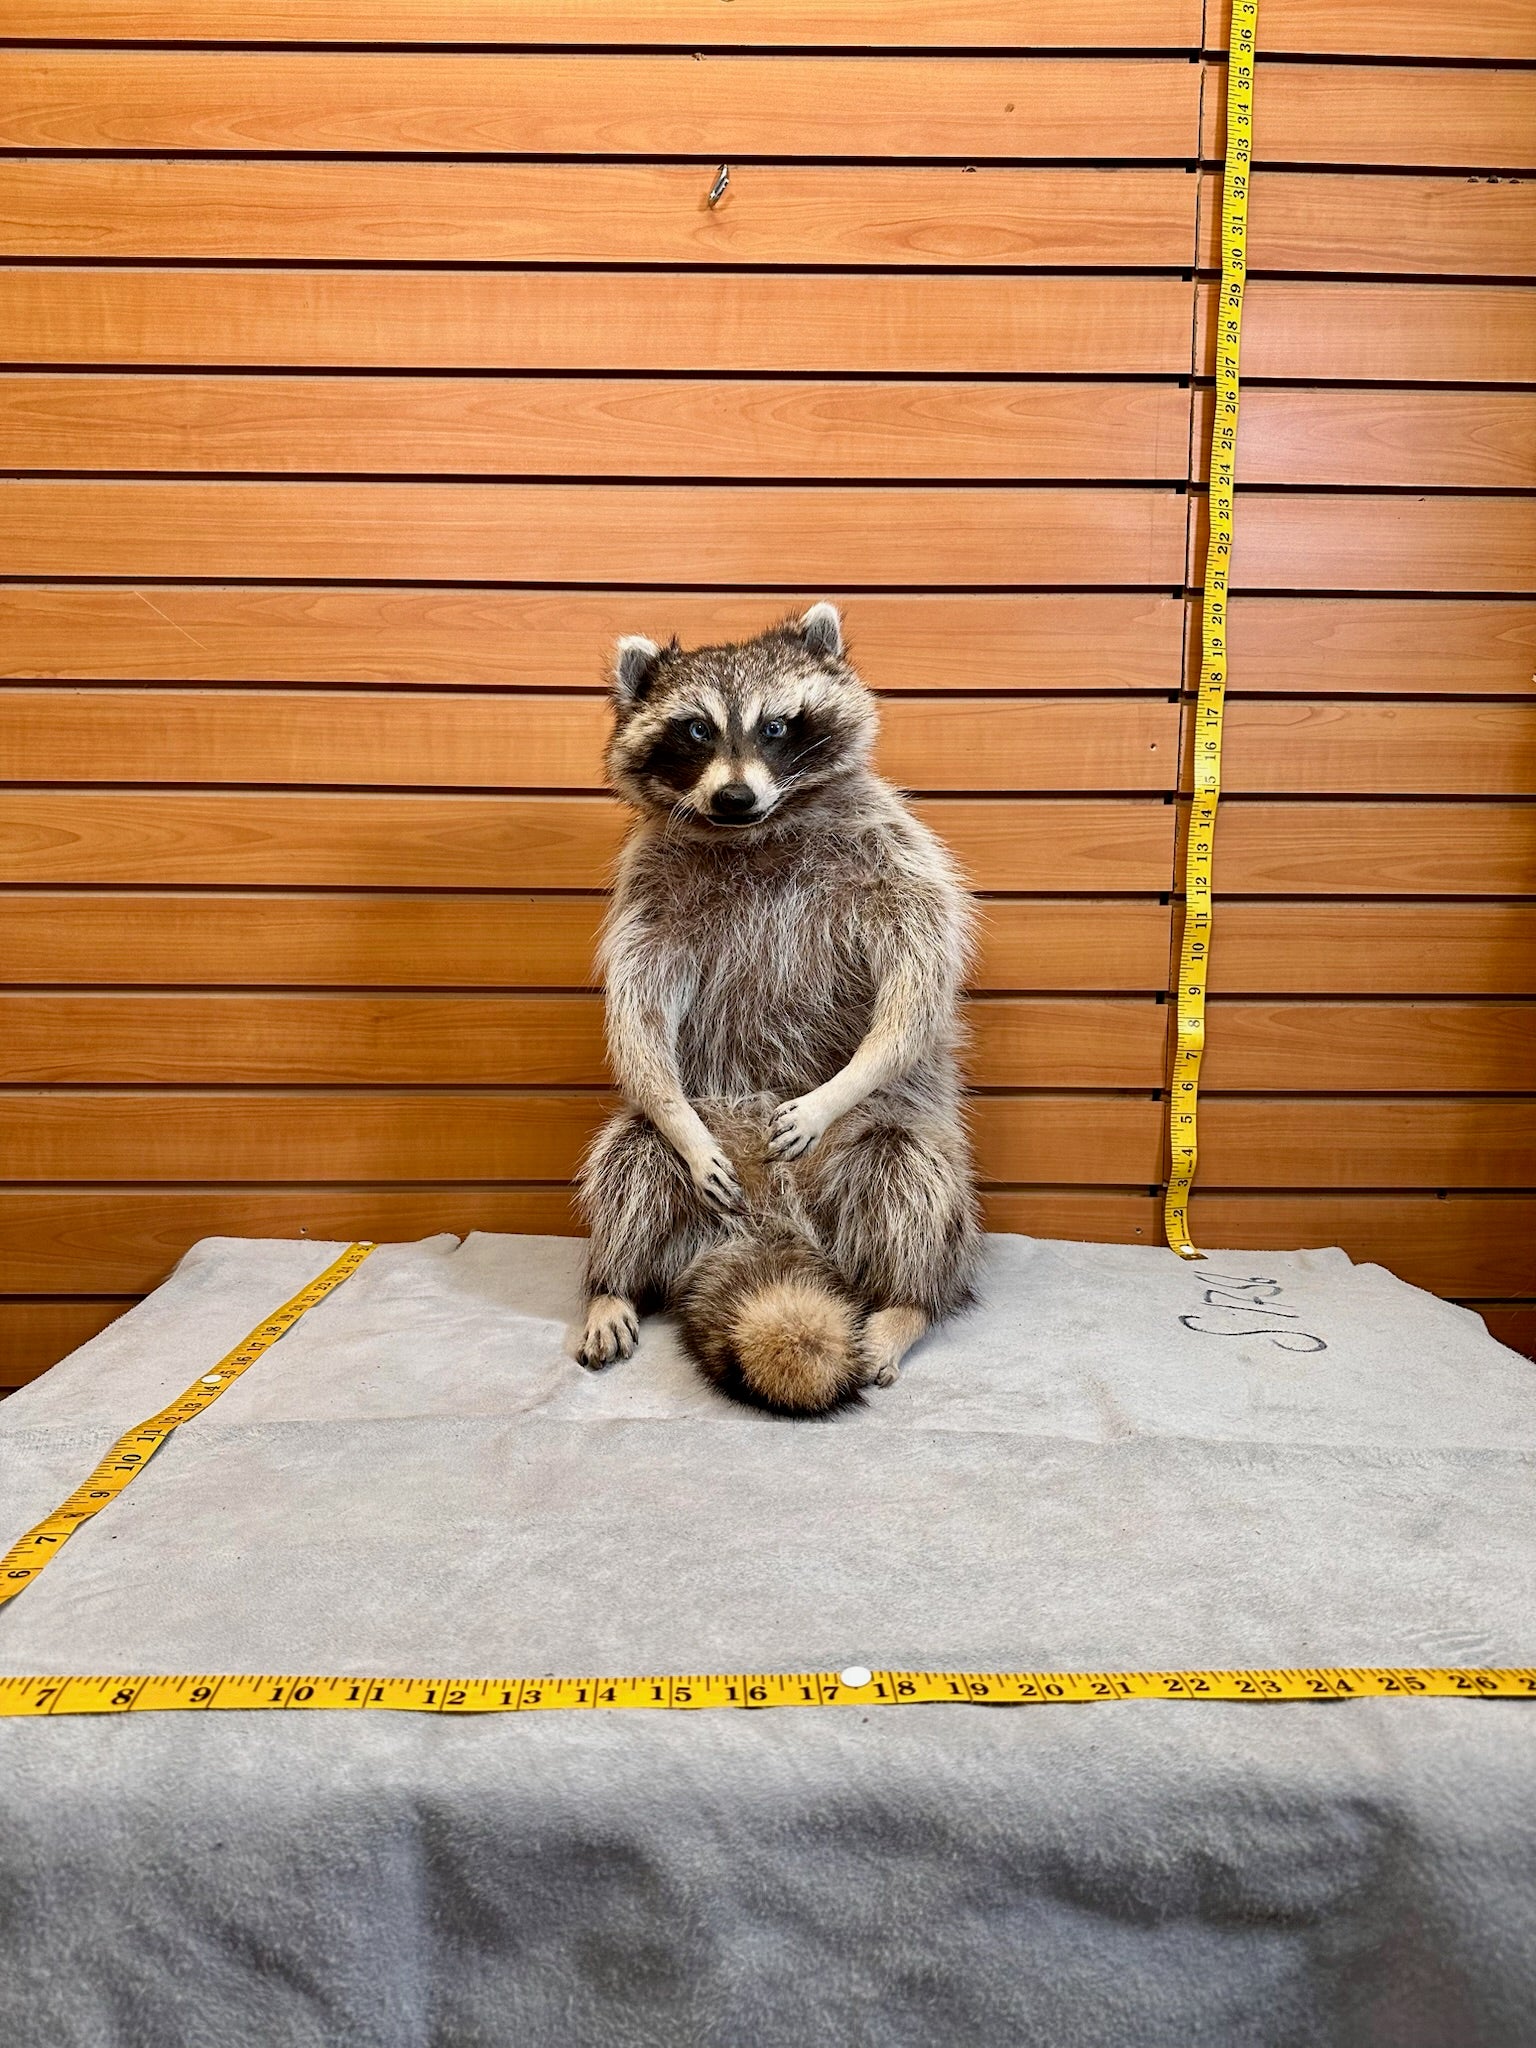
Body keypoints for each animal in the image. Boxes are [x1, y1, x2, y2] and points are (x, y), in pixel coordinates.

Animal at [575, 602, 981, 1415]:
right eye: (695, 731)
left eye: (775, 726)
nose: (734, 797)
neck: (756, 831)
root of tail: (776, 1230)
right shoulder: (649, 888)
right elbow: (635, 1013)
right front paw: (672, 1117)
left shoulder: (892, 849)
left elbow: (920, 977)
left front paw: (846, 1081)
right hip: (708, 1166)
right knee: (631, 1156)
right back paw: (612, 1280)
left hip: (880, 1167)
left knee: (911, 1174)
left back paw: (905, 1303)